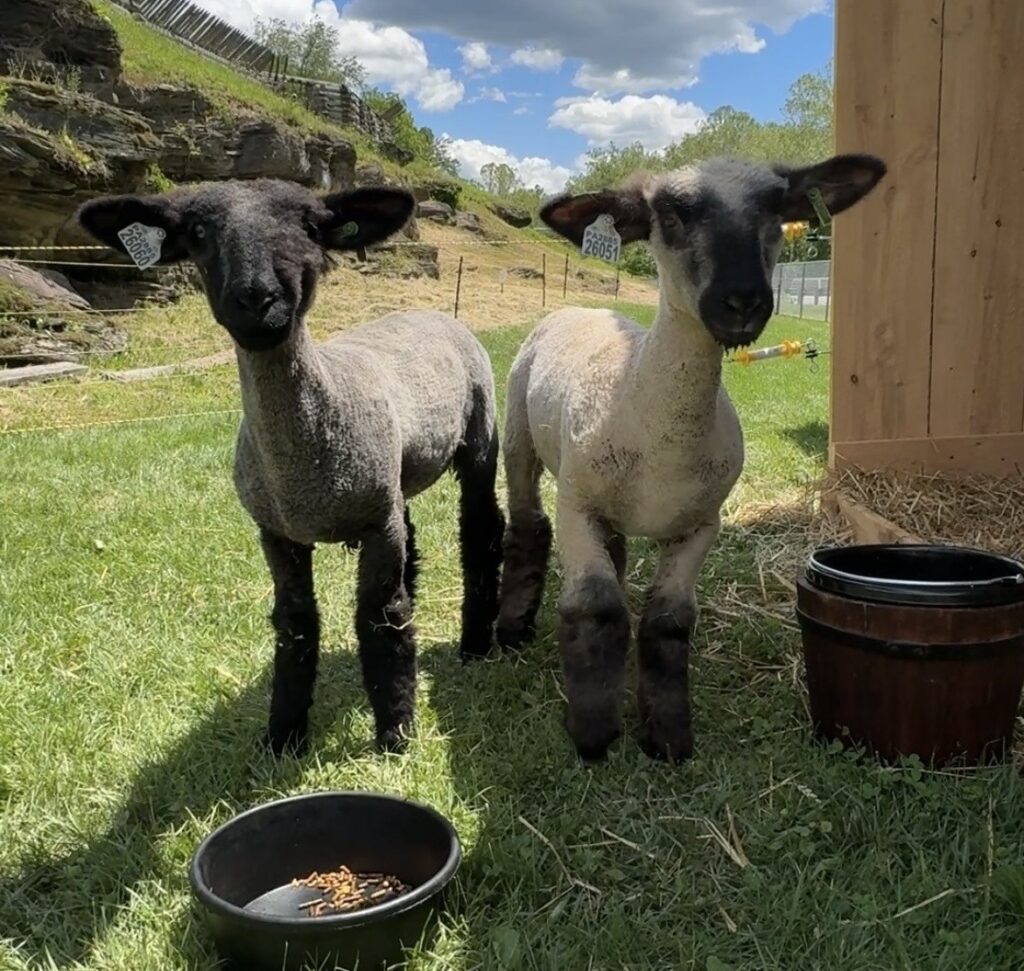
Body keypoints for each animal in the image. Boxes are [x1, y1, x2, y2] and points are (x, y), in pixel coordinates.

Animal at [77, 178, 505, 755]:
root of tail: (426, 310)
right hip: (394, 477)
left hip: (478, 435)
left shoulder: (378, 524)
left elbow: (380, 619)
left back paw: (476, 643)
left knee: (481, 529)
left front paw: (395, 732)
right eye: (198, 231)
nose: (256, 298)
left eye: (310, 226)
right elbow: (296, 623)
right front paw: (282, 734)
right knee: (413, 537)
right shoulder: (278, 531)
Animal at [496, 153, 887, 763]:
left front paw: (668, 735)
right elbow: (594, 605)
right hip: (520, 434)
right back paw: (510, 629)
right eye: (672, 214)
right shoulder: (577, 506)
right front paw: (592, 733)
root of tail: (582, 307)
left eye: (777, 209)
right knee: (527, 523)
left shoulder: (701, 524)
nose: (744, 300)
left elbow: (668, 621)